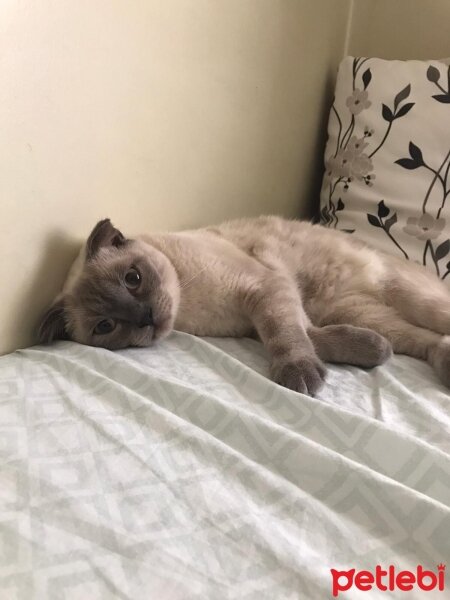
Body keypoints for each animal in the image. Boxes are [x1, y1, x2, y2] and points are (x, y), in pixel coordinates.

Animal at [37, 216, 450, 394]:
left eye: (132, 279)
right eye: (105, 326)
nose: (146, 317)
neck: (191, 307)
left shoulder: (267, 291)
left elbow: (288, 336)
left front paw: (300, 376)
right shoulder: (266, 315)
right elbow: (312, 337)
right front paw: (373, 352)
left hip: (413, 297)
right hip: (355, 309)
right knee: (419, 339)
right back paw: (435, 357)